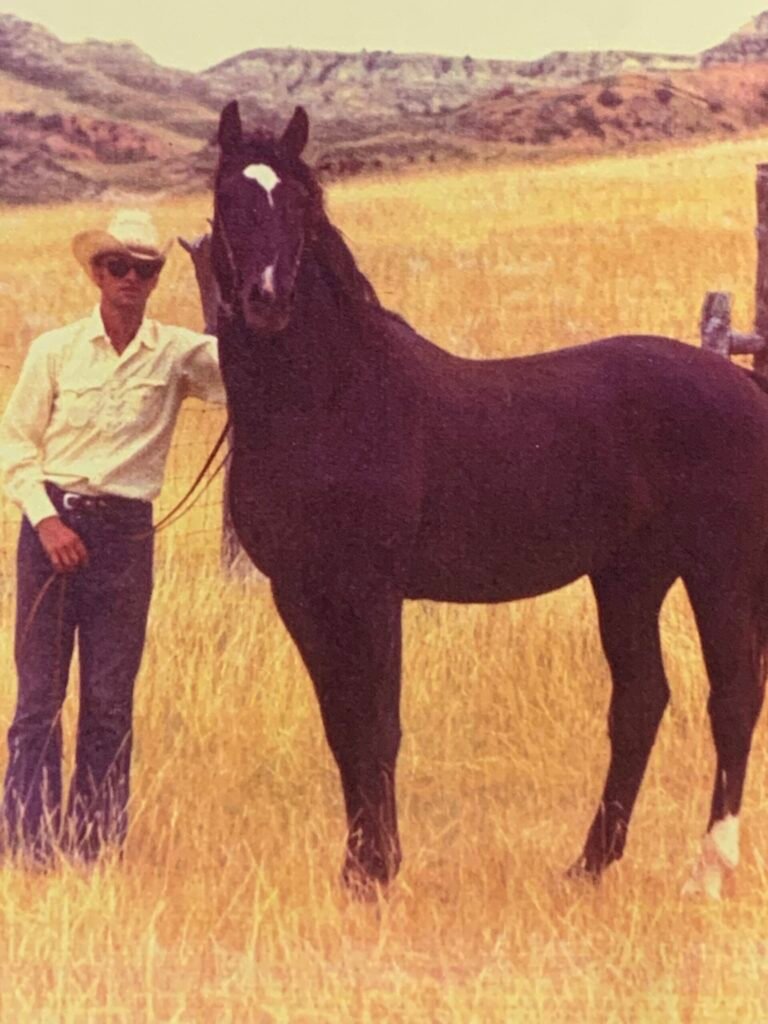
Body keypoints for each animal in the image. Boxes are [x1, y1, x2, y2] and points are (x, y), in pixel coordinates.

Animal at [205, 99, 768, 899]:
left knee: (732, 699)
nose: (268, 300)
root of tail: (744, 386)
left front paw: (378, 873)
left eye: (302, 204)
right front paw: (356, 870)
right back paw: (588, 865)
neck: (329, 403)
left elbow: (376, 725)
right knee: (641, 701)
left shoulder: (371, 591)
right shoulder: (300, 594)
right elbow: (341, 726)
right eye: (229, 200)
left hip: (717, 572)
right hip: (630, 577)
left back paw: (706, 874)